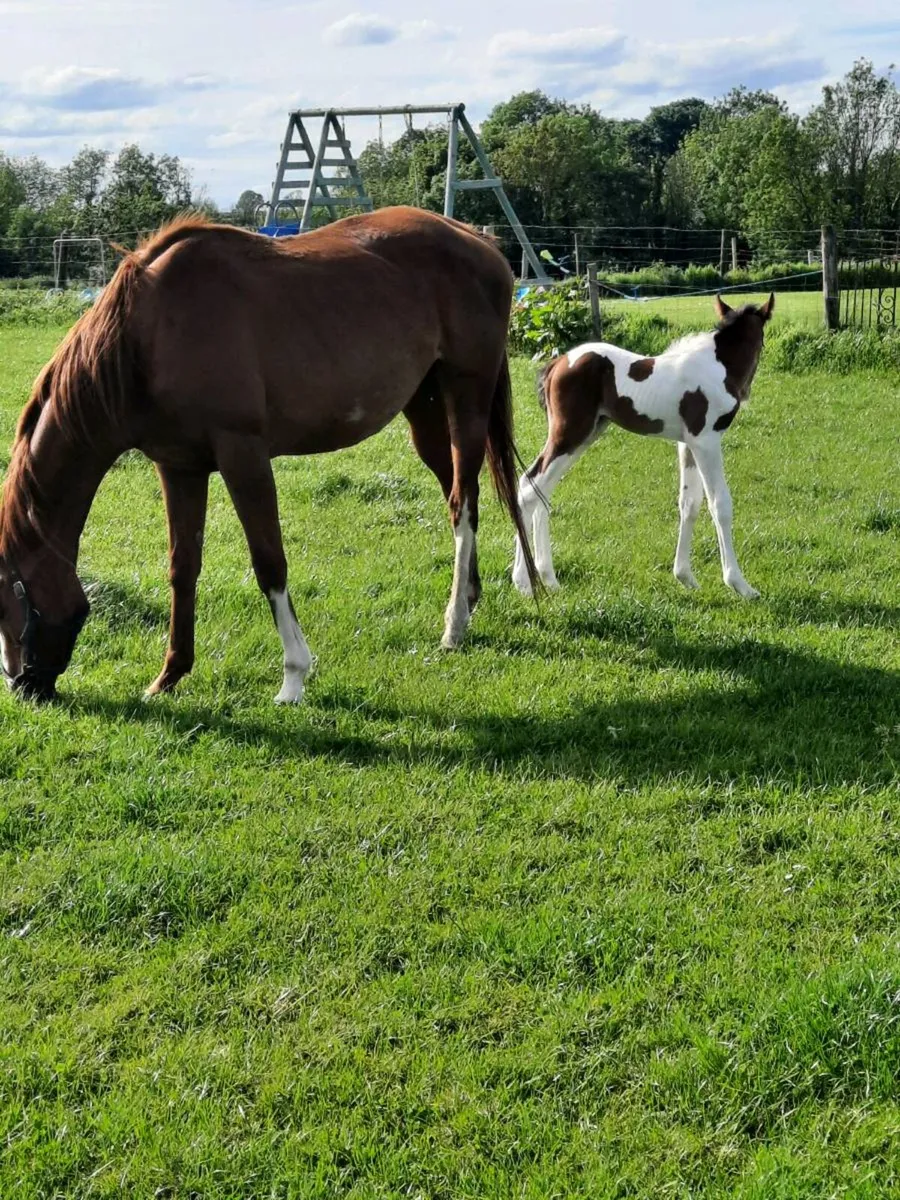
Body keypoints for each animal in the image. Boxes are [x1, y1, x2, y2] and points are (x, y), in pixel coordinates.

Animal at [0, 207, 538, 703]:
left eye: (7, 599)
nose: (22, 686)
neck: (146, 338)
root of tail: (477, 240)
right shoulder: (179, 467)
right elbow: (182, 568)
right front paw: (169, 675)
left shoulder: (243, 456)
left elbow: (269, 564)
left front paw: (294, 676)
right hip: (424, 411)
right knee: (458, 495)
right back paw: (469, 600)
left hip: (467, 398)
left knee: (463, 504)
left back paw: (453, 626)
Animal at [512, 294, 774, 600]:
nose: (746, 393)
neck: (718, 365)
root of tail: (558, 362)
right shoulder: (706, 440)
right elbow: (719, 504)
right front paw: (740, 584)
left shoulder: (687, 443)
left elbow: (689, 502)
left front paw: (685, 576)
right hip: (569, 434)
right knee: (529, 488)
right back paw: (523, 582)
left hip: (584, 435)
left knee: (540, 489)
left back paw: (549, 579)